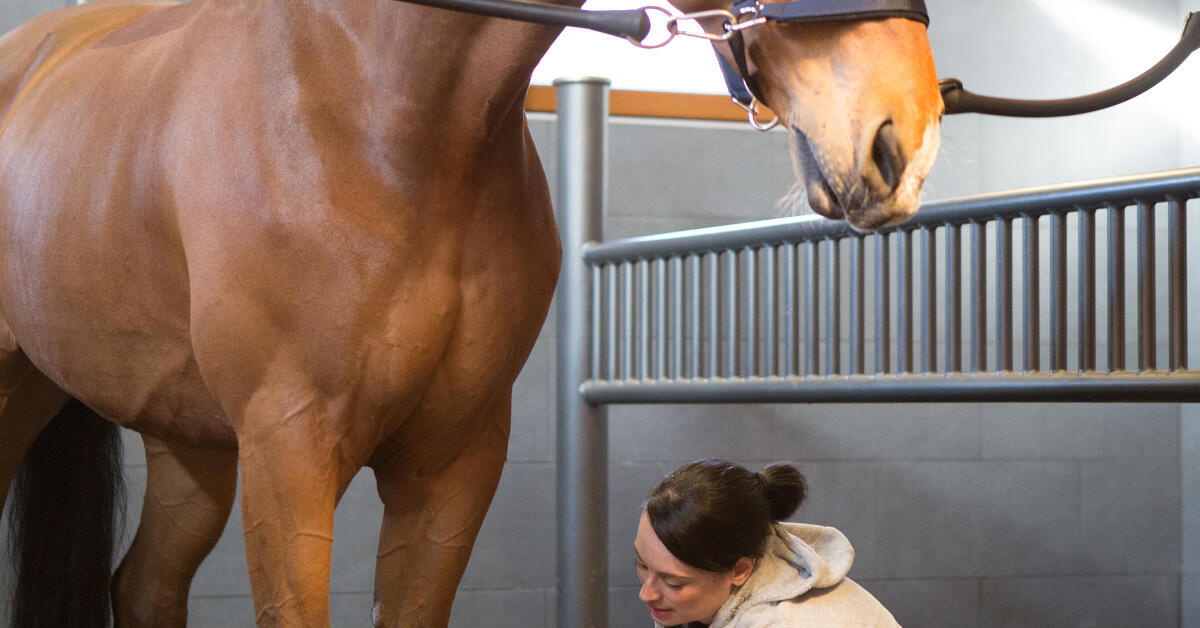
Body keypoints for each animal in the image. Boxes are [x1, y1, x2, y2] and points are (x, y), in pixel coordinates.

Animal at [0, 1, 936, 628]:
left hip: (189, 444)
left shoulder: (454, 459)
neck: (376, 110)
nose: (907, 135)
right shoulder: (288, 449)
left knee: (145, 587)